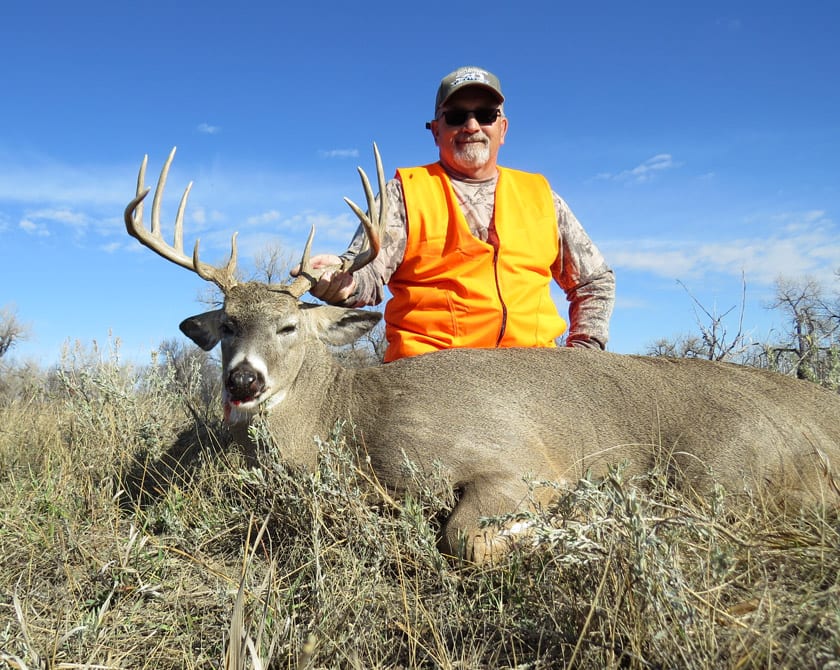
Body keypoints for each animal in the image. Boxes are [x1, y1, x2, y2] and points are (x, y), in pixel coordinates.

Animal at [124, 146, 840, 564]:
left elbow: (462, 537)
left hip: (719, 468)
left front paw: (572, 528)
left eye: (289, 326)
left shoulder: (516, 464)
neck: (351, 424)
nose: (243, 382)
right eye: (228, 324)